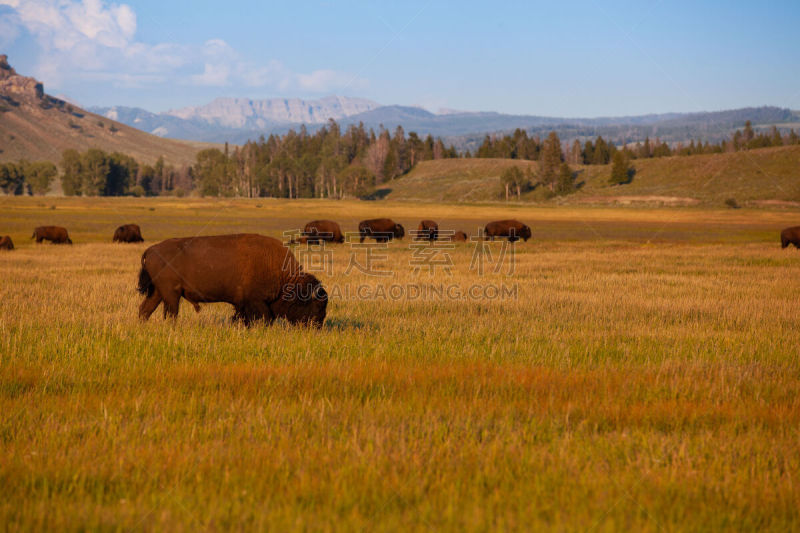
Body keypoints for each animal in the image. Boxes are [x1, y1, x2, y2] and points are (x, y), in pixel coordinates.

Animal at [138, 234, 328, 326]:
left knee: (145, 309)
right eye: (316, 305)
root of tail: (151, 249)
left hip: (158, 292)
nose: (317, 326)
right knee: (170, 312)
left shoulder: (243, 303)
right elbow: (264, 318)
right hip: (171, 294)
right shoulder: (255, 302)